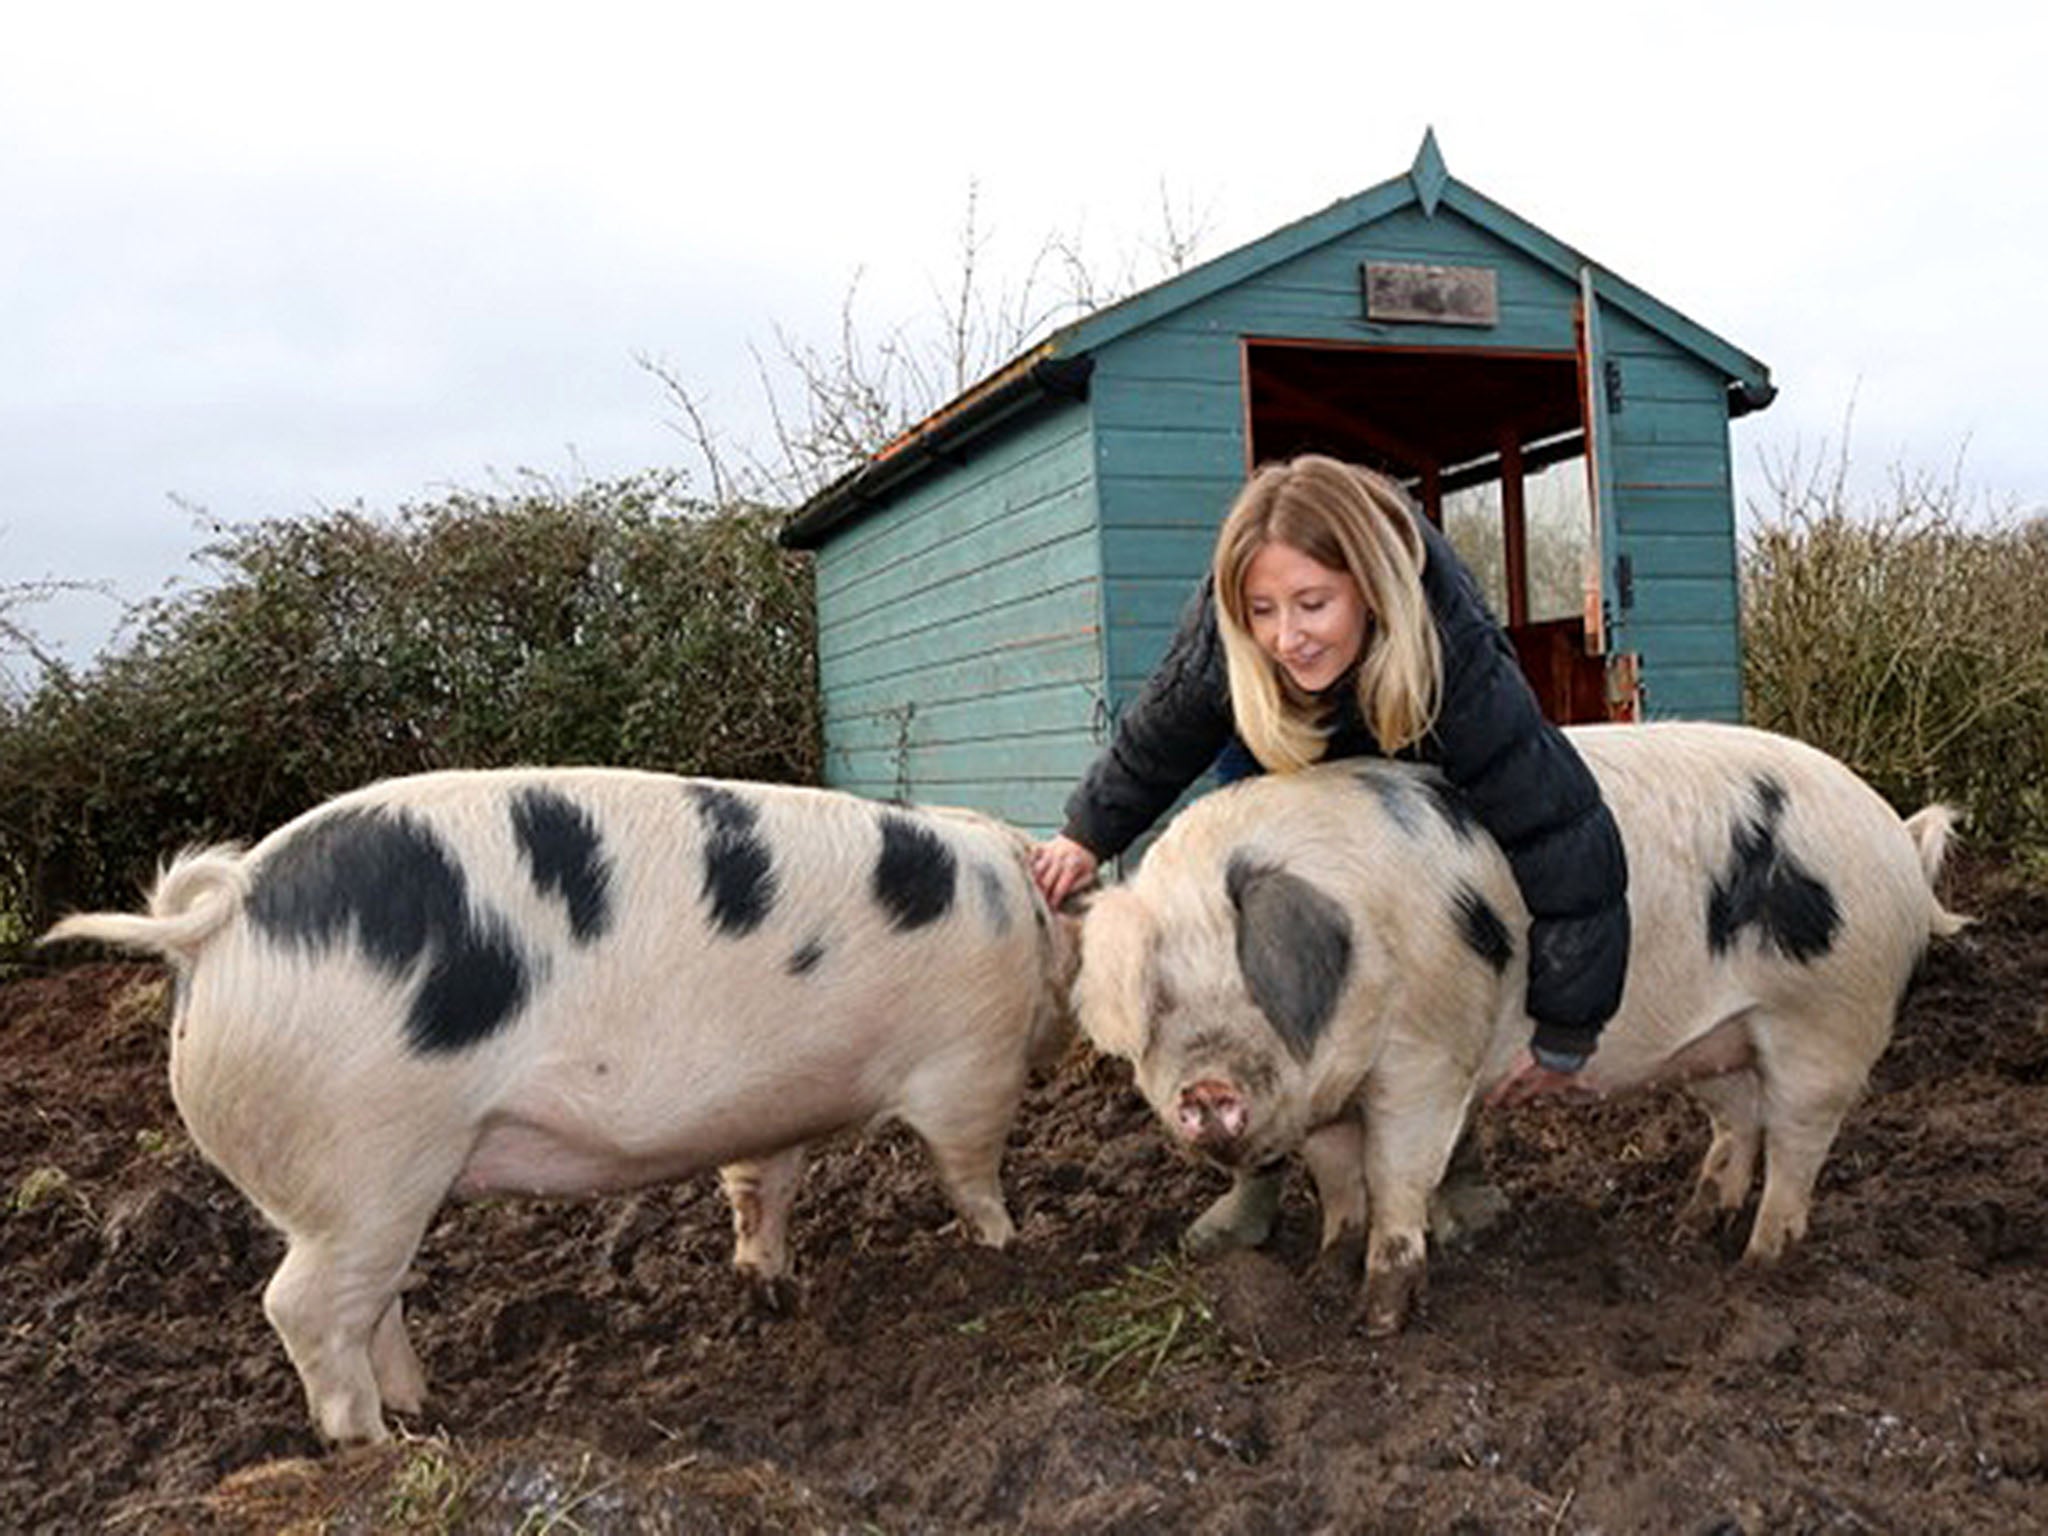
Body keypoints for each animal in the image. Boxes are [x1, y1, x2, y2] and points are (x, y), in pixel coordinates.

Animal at [44, 774, 1073, 1449]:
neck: (1016, 905)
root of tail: (219, 927)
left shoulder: (774, 1109)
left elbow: (761, 1184)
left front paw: (769, 1285)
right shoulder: (970, 1063)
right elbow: (970, 1165)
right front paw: (1007, 1248)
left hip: (370, 1191)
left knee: (366, 1301)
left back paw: (423, 1410)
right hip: (368, 1155)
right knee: (299, 1306)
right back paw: (374, 1448)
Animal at [1073, 720, 1966, 1335]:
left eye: (1254, 982)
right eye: (1159, 1003)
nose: (1206, 1089)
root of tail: (1895, 832)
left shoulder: (1427, 1057)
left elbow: (1396, 1175)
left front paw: (1377, 1320)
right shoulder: (1324, 1094)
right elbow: (1338, 1182)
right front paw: (1324, 1276)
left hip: (1825, 1023)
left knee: (1797, 1147)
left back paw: (1757, 1265)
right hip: (1726, 1042)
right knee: (1739, 1126)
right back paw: (1686, 1233)